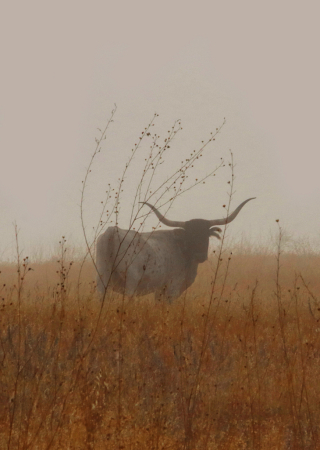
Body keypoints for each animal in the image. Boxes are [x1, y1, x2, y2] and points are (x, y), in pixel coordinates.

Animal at [96, 198, 254, 300]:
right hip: (131, 281)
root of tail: (112, 231)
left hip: (102, 278)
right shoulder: (172, 288)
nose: (200, 255)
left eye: (206, 234)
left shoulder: (159, 291)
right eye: (190, 235)